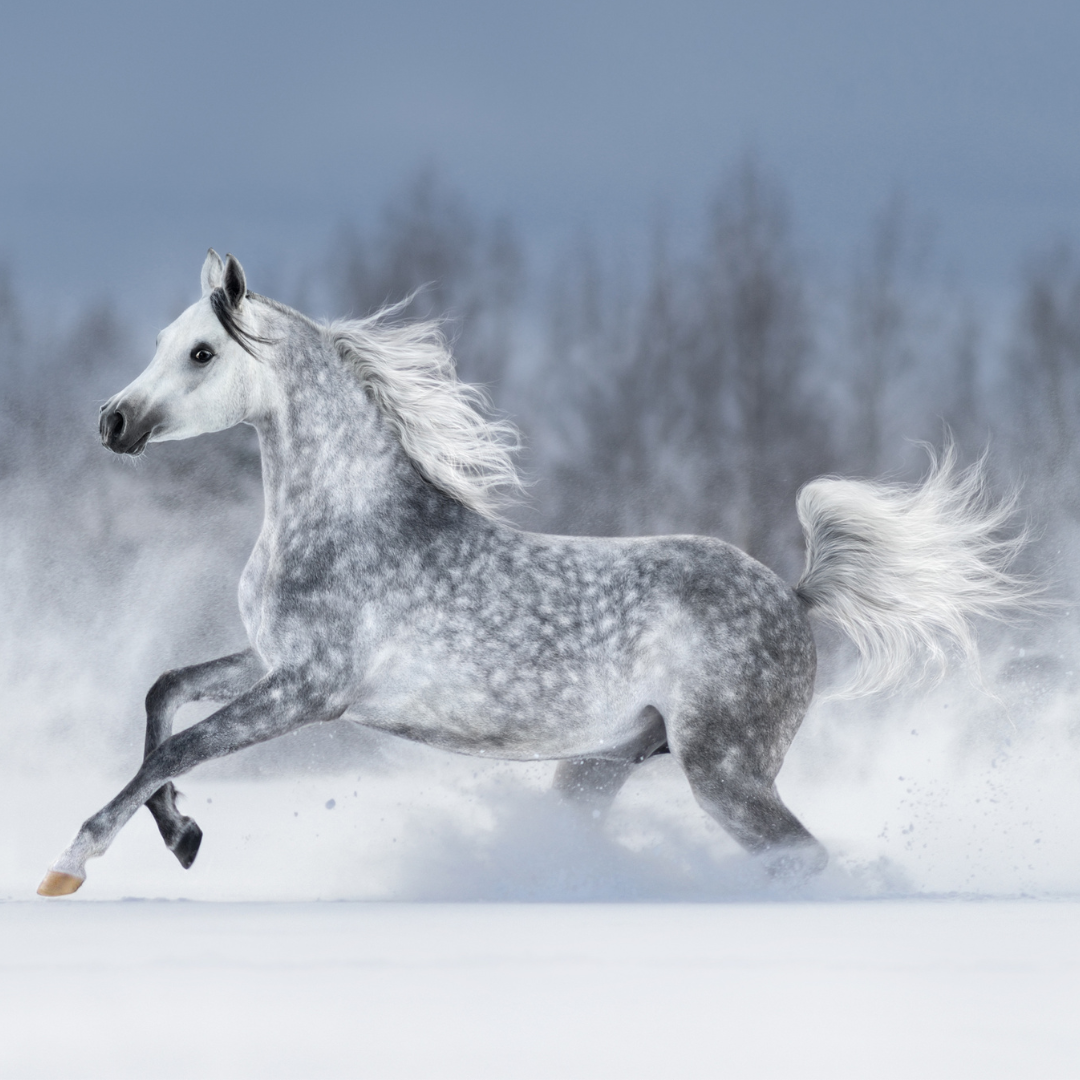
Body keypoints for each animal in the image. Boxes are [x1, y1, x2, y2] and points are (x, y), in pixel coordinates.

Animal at [38, 250, 1027, 896]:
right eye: (164, 341)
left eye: (202, 353)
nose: (112, 422)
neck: (344, 521)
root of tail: (794, 592)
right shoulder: (269, 661)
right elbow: (163, 696)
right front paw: (184, 835)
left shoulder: (310, 689)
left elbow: (178, 743)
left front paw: (70, 863)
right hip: (601, 765)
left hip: (726, 770)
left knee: (801, 858)